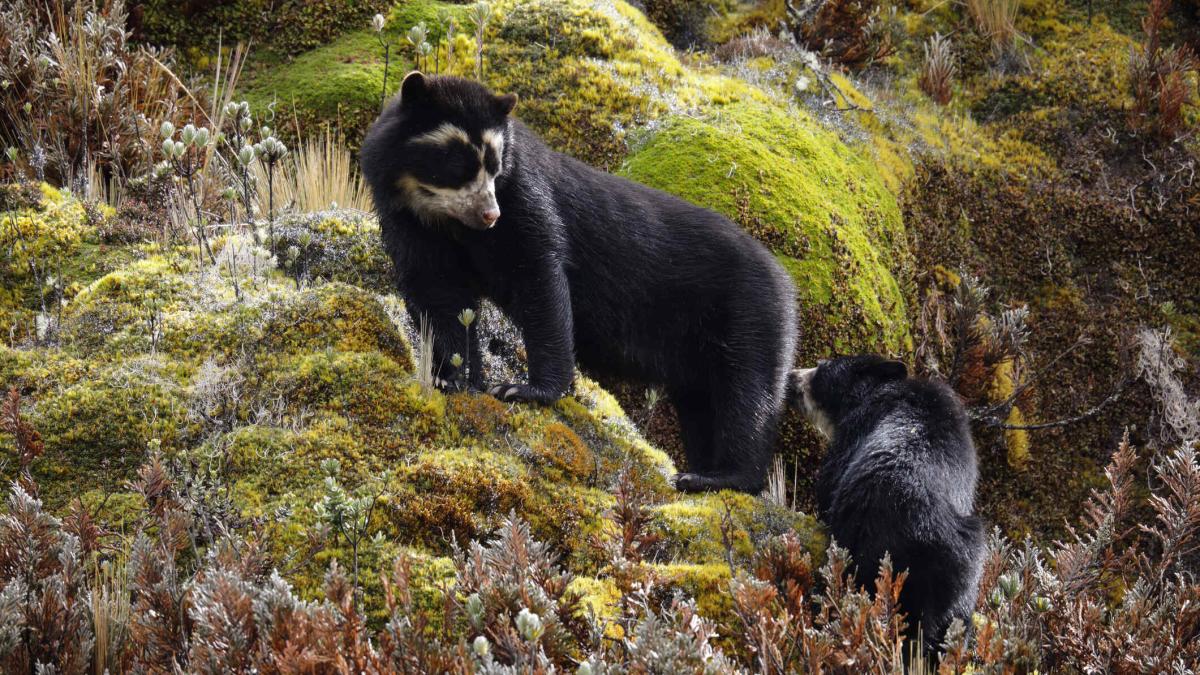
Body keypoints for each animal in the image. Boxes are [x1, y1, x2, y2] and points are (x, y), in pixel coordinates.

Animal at [360, 73, 801, 492]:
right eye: (458, 164)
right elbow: (437, 292)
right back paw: (701, 471)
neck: (443, 218)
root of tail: (786, 282)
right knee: (704, 407)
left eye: (496, 165)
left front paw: (523, 389)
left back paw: (719, 478)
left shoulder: (524, 200)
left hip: (749, 318)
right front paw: (453, 378)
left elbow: (537, 277)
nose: (489, 215)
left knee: (745, 397)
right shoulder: (409, 221)